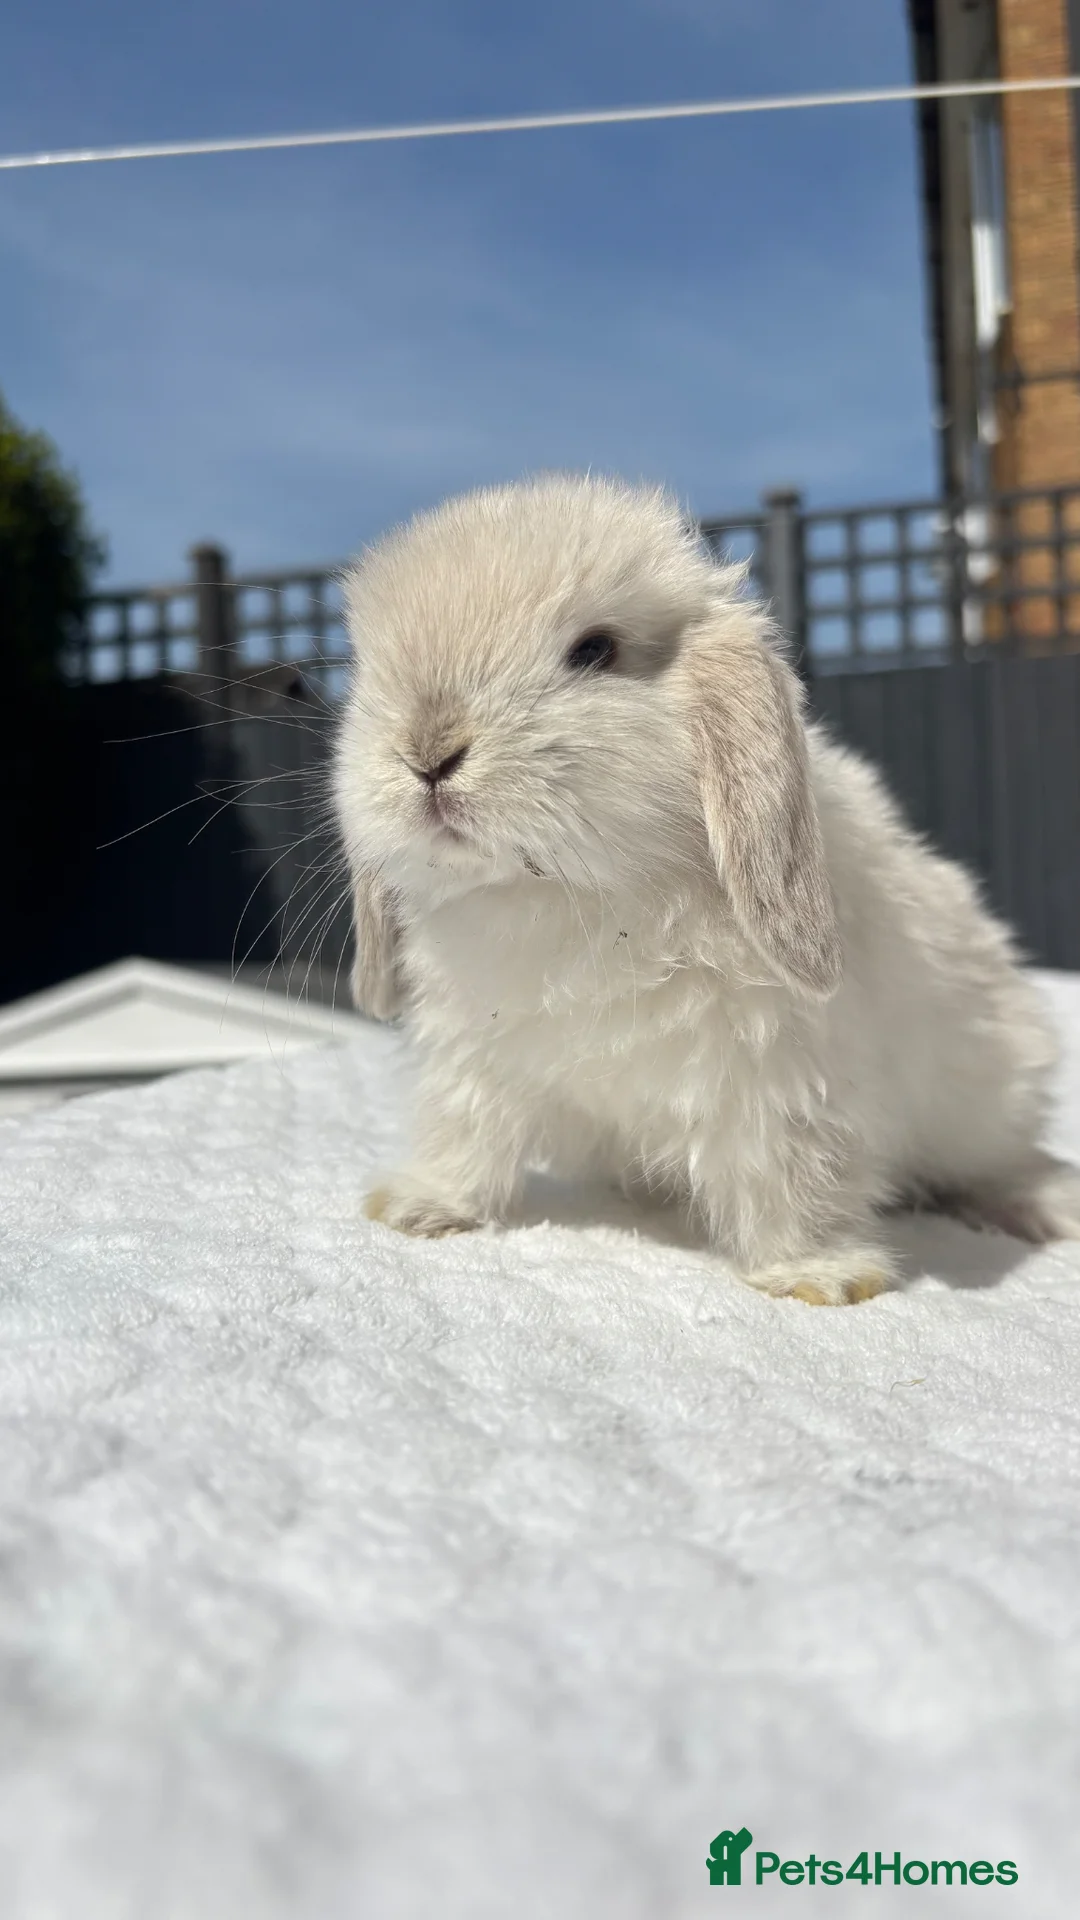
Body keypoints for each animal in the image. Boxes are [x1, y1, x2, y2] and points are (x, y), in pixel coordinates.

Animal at [332, 473, 1080, 1305]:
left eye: (595, 650)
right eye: (368, 669)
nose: (427, 752)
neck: (572, 894)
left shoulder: (779, 1087)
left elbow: (792, 1179)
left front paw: (819, 1276)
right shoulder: (474, 1063)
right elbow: (466, 1137)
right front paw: (420, 1209)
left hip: (987, 1100)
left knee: (1003, 1161)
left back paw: (1047, 1205)